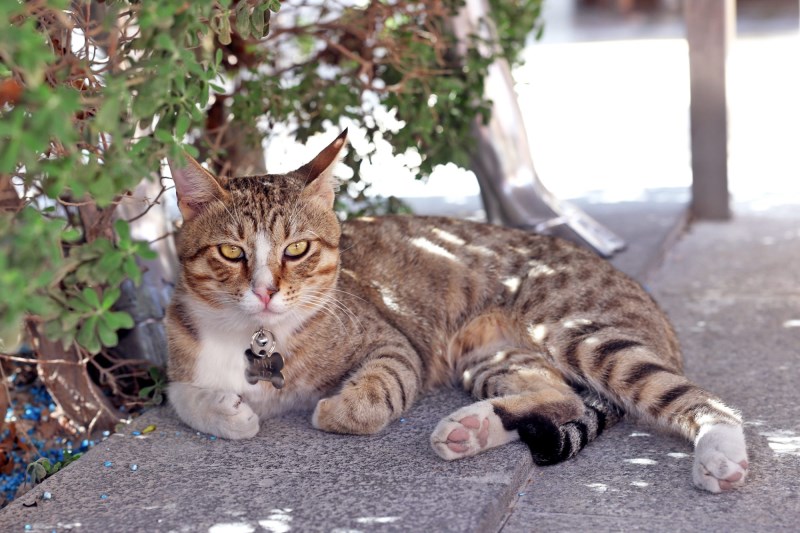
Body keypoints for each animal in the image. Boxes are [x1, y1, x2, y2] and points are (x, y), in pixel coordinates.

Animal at [166, 129, 748, 490]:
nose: (265, 291)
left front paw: (334, 409)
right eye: (231, 253)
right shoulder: (178, 353)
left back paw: (721, 453)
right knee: (559, 398)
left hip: (574, 330)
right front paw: (225, 412)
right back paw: (472, 428)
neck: (257, 337)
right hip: (489, 357)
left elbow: (374, 395)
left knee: (701, 400)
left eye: (297, 250)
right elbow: (180, 394)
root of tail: (653, 306)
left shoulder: (393, 342)